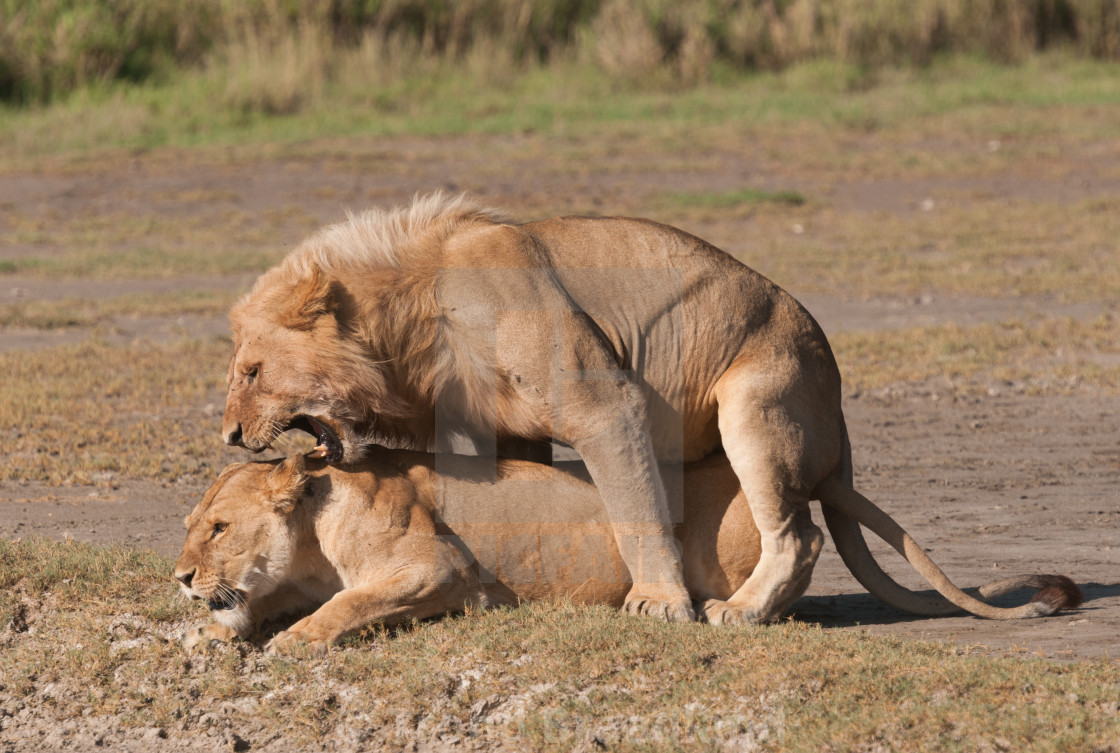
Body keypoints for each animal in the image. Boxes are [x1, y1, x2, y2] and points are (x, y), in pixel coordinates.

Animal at [218, 192, 963, 623]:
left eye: (252, 371)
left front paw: (659, 603)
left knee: (798, 533)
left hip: (755, 402)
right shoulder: (502, 427)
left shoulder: (605, 403)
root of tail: (834, 389)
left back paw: (743, 611)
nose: (229, 434)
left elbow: (636, 509)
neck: (409, 322)